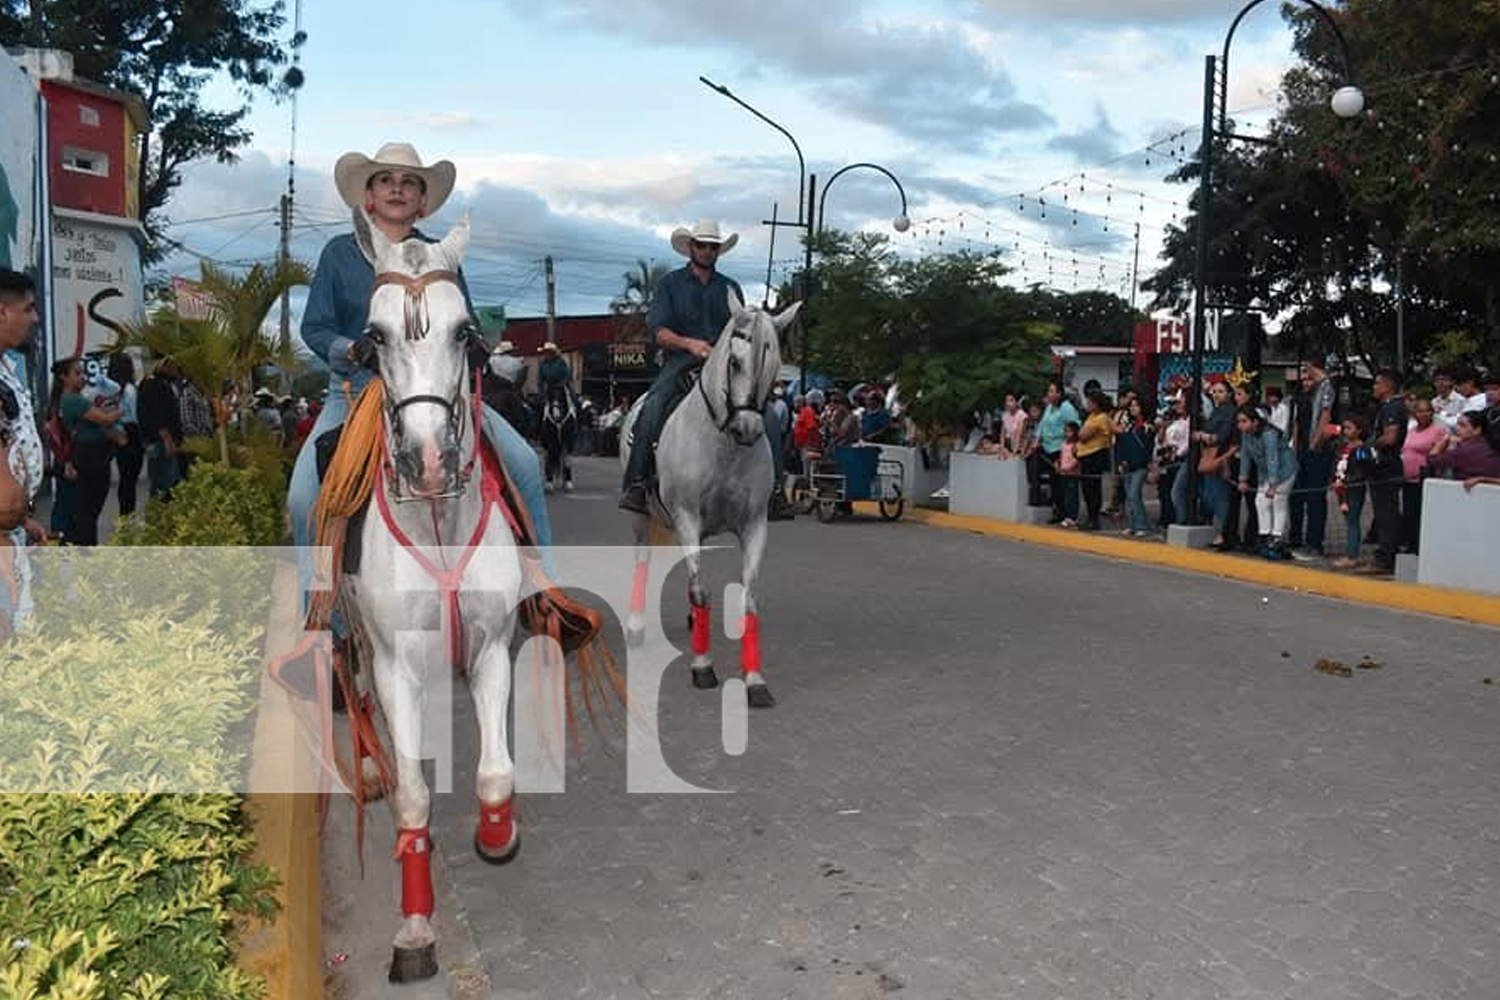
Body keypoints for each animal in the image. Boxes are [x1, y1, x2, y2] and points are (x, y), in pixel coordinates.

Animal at [618, 293, 804, 707]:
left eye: (774, 369)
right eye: (734, 362)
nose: (748, 428)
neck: (723, 445)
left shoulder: (754, 525)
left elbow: (748, 598)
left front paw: (754, 679)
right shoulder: (687, 517)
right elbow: (701, 590)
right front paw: (702, 666)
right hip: (641, 517)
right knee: (642, 559)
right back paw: (636, 624)